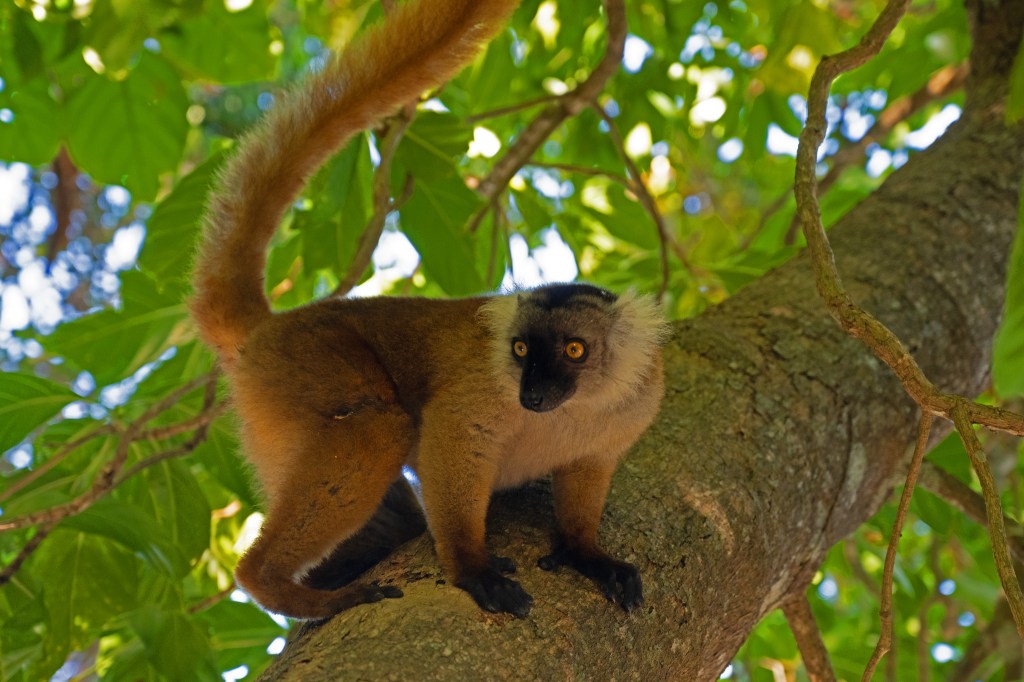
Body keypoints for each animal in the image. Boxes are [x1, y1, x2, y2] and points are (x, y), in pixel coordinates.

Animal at [190, 0, 667, 619]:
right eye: (521, 350)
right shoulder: (483, 392)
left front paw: (587, 555)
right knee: (381, 425)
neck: (577, 407)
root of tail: (272, 326)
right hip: (299, 362)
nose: (532, 395)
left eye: (574, 349)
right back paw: (280, 583)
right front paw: (472, 568)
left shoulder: (635, 406)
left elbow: (588, 474)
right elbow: (451, 436)